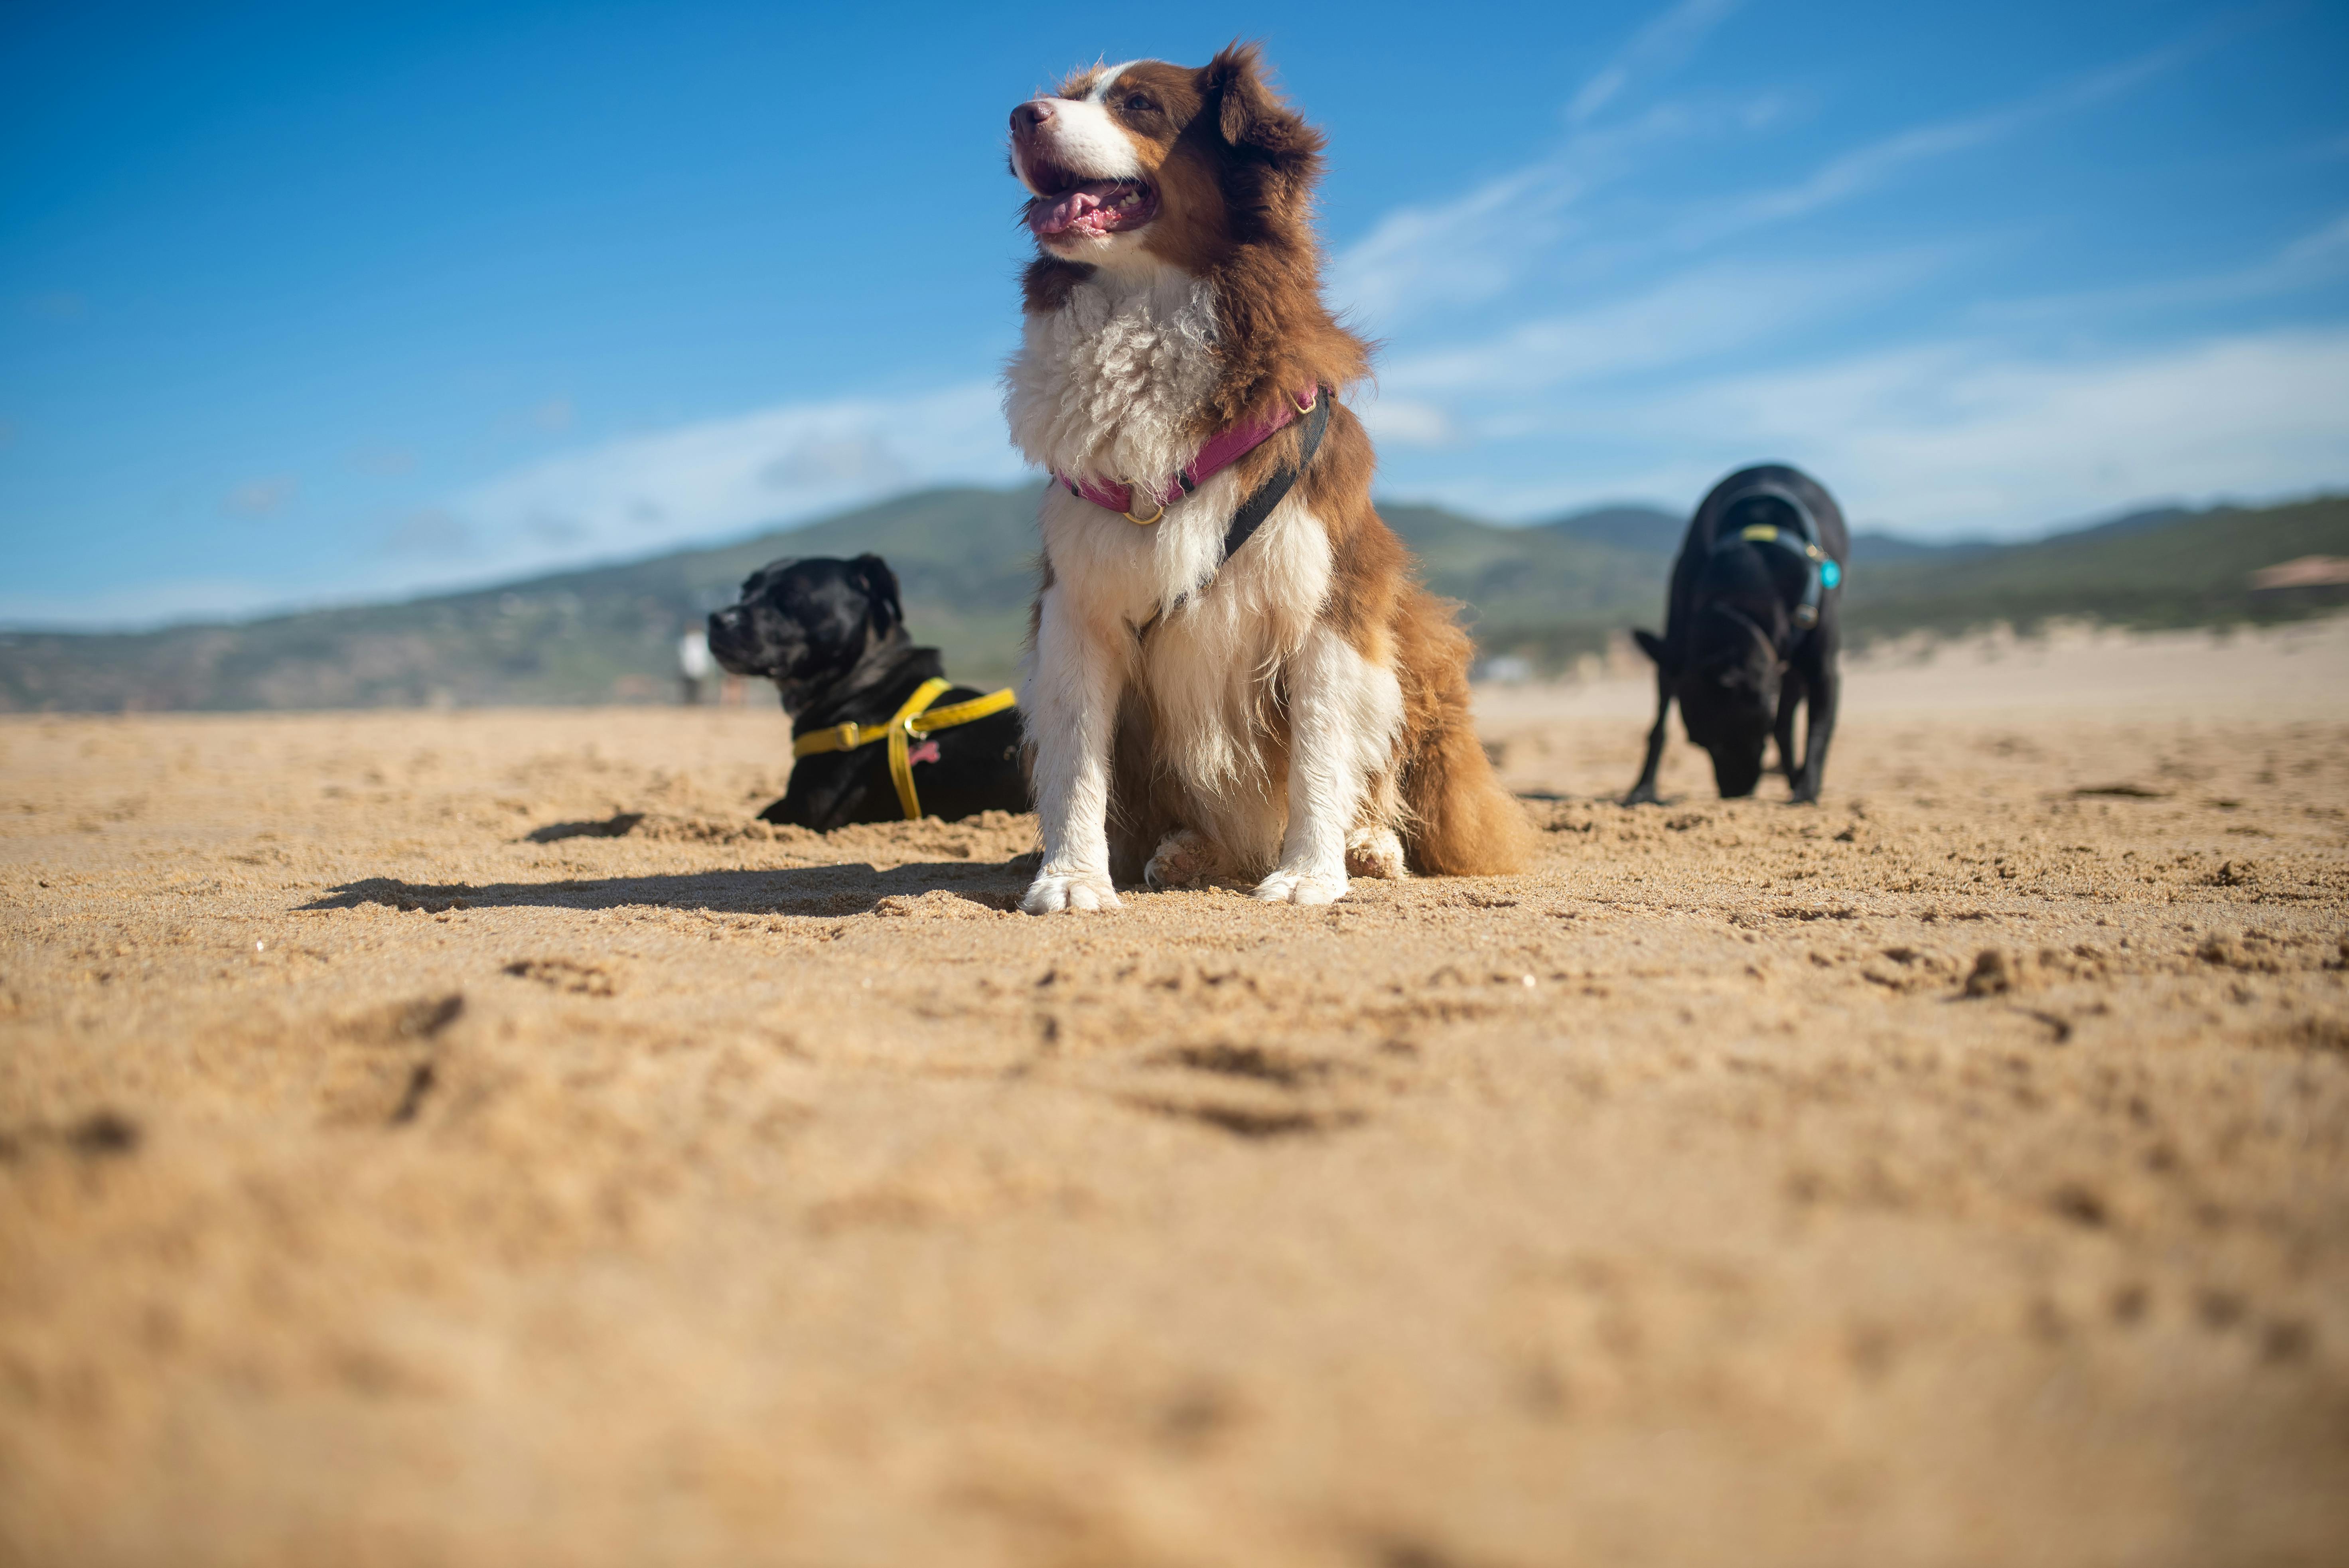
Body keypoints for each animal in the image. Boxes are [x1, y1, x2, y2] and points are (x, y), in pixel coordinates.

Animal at [700, 561, 1024, 840]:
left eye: (791, 594)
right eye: (745, 591)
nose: (716, 619)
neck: (864, 680)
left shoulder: (807, 812)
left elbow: (759, 815)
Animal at [1005, 43, 1522, 911]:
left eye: (1138, 105)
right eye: (1071, 94)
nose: (1019, 115)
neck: (1148, 309)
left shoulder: (1328, 597)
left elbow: (1319, 751)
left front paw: (1310, 874)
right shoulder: (1075, 604)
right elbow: (1076, 759)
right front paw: (1072, 879)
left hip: (1413, 644)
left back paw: (1368, 846)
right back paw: (1188, 851)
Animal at [1625, 462, 1841, 807]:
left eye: (1734, 737)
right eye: (1701, 743)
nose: (1731, 793)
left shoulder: (1823, 670)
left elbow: (1817, 730)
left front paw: (1806, 790)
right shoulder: (1676, 652)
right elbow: (1658, 727)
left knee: (1787, 724)